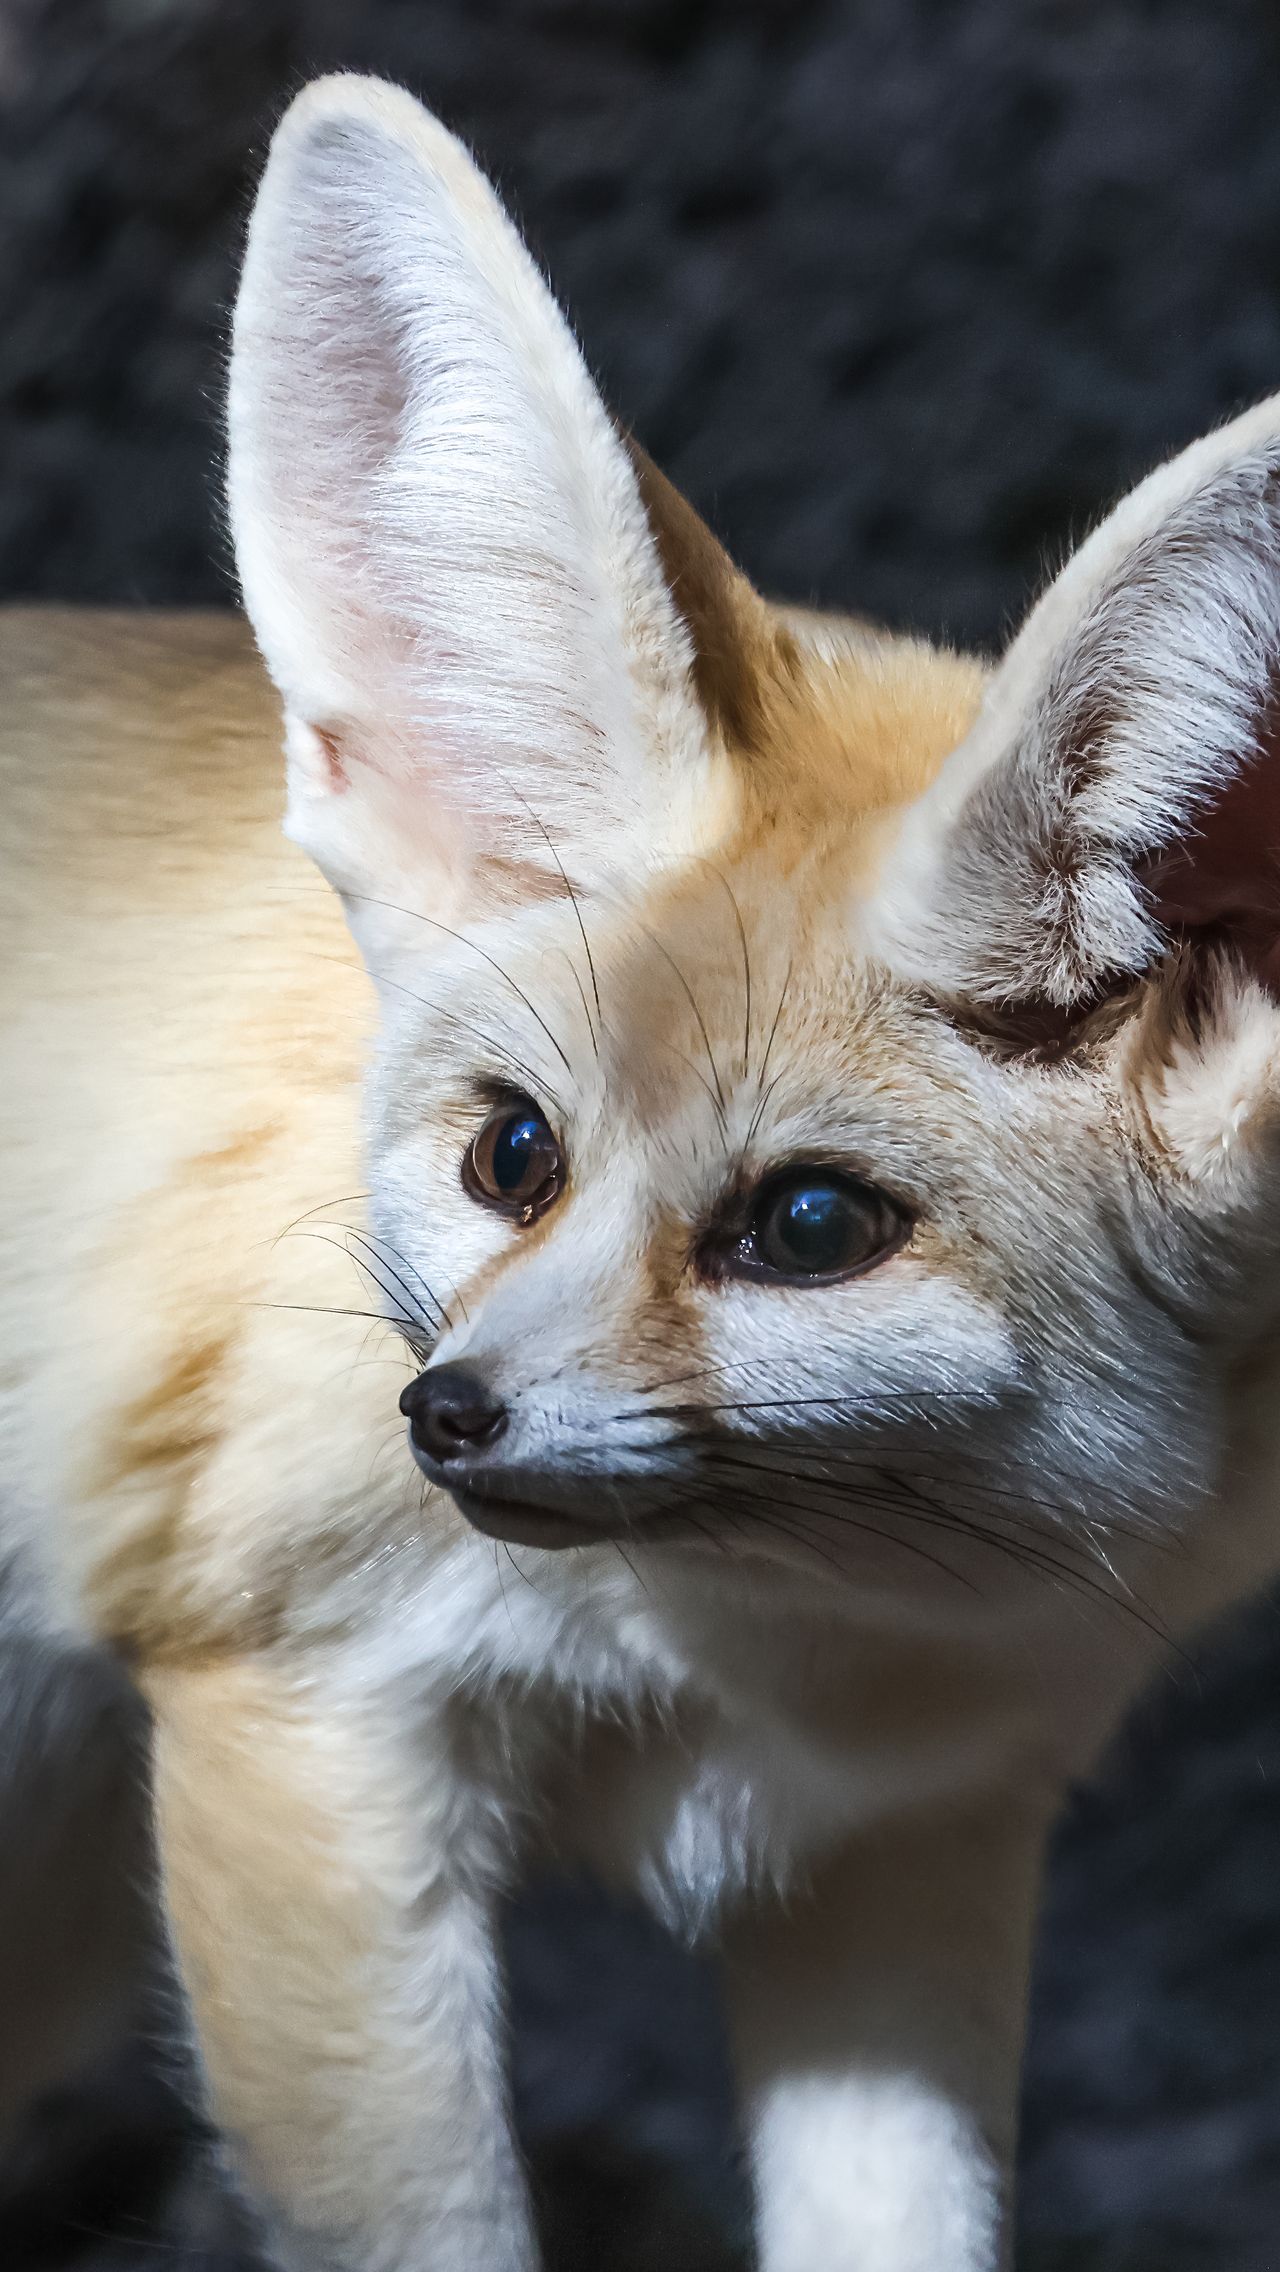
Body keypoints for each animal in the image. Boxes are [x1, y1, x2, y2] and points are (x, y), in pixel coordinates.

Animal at [2, 71, 1280, 2272]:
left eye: (810, 1228)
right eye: (510, 1152)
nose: (445, 1410)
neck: (765, 1642)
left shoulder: (910, 1835)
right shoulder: (300, 1727)